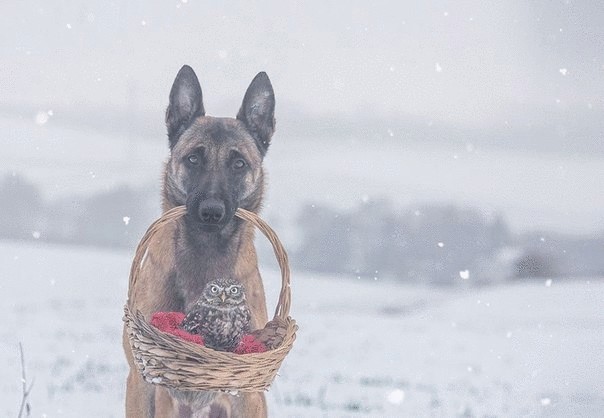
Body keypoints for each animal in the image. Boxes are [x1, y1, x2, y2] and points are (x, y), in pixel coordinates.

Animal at [124, 64, 278, 414]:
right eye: (194, 159)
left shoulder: (248, 394)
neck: (205, 252)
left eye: (239, 163)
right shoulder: (148, 383)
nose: (211, 212)